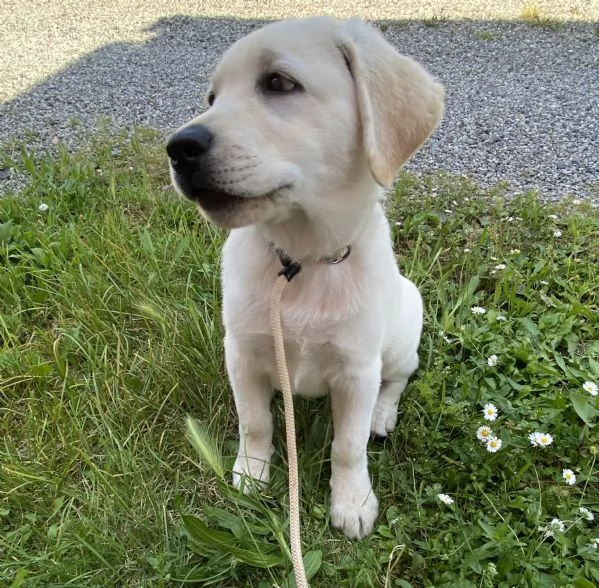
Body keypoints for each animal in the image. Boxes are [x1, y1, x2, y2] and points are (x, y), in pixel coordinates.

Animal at [166, 16, 442, 540]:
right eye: (212, 98)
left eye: (279, 83)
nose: (177, 148)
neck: (302, 262)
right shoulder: (243, 353)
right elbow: (254, 422)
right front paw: (251, 473)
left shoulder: (357, 370)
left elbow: (348, 446)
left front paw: (352, 502)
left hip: (401, 336)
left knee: (399, 376)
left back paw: (382, 414)